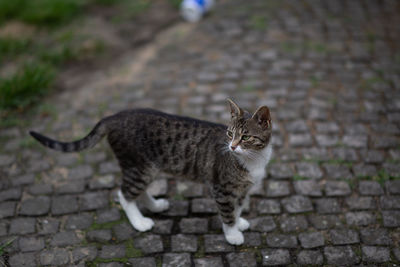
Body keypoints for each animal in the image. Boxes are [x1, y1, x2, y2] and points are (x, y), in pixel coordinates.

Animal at [30, 99, 272, 245]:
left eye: (245, 137)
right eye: (230, 133)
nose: (232, 146)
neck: (253, 159)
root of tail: (114, 116)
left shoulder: (242, 190)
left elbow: (237, 208)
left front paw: (239, 222)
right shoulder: (222, 188)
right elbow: (227, 213)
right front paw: (232, 234)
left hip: (148, 167)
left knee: (139, 191)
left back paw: (155, 205)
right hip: (139, 167)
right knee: (124, 194)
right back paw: (139, 222)